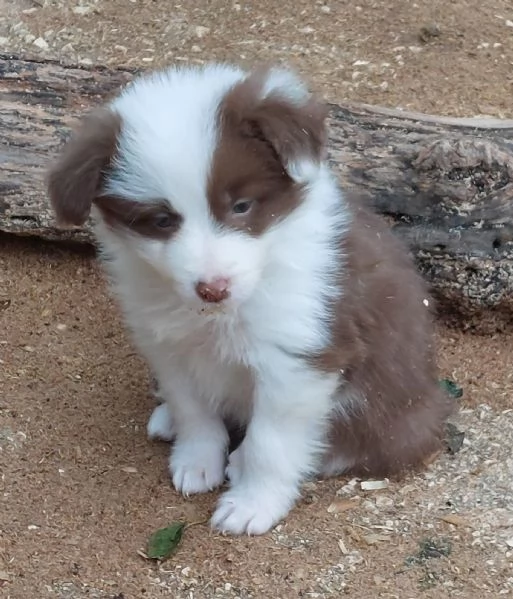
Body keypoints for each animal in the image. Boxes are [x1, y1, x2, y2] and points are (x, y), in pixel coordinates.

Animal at [46, 63, 450, 536]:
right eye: (162, 221)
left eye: (241, 206)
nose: (213, 288)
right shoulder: (168, 345)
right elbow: (192, 409)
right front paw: (196, 458)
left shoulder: (296, 360)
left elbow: (269, 444)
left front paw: (253, 503)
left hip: (389, 407)